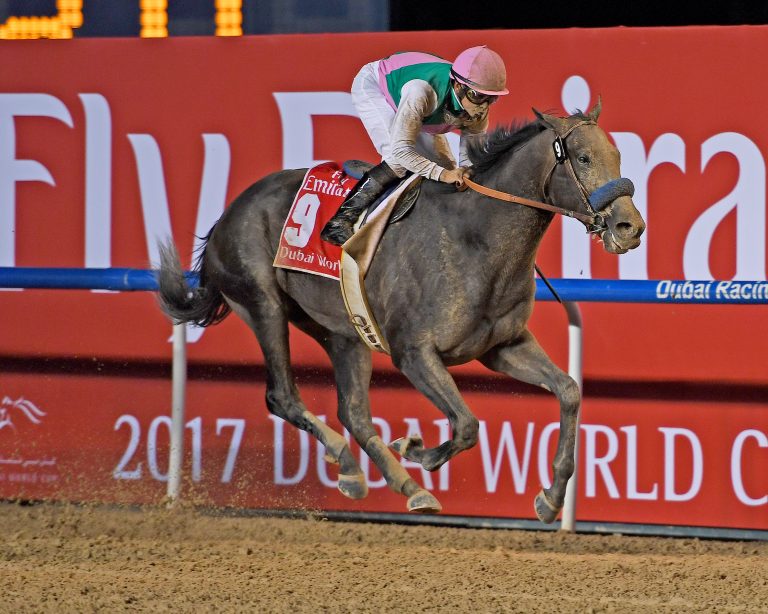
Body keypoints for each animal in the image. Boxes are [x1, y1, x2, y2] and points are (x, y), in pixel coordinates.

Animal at [157, 101, 645, 522]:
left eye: (618, 154)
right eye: (582, 157)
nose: (630, 226)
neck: (478, 237)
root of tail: (225, 216)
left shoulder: (502, 345)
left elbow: (569, 391)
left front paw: (551, 497)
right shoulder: (414, 353)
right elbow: (467, 424)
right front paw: (417, 449)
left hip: (343, 331)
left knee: (353, 410)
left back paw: (385, 481)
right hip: (263, 303)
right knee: (282, 395)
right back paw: (355, 462)